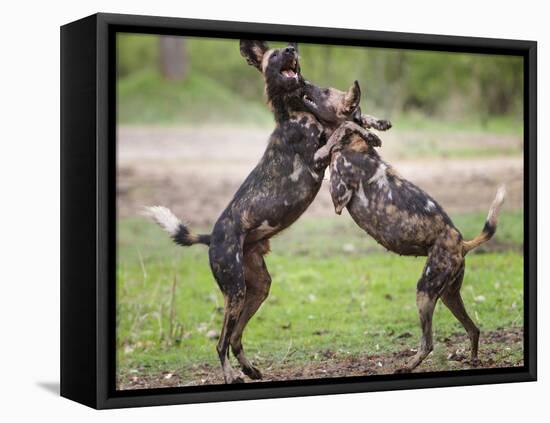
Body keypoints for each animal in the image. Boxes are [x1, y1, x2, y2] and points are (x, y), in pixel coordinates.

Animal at [147, 39, 388, 384]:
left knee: (236, 337)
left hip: (258, 288)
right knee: (221, 342)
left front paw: (375, 124)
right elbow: (344, 126)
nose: (290, 48)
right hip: (234, 292)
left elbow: (350, 118)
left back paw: (250, 369)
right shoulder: (318, 158)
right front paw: (367, 131)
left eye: (286, 51)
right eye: (274, 56)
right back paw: (230, 376)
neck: (297, 112)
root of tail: (212, 237)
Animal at [306, 83, 508, 374]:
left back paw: (408, 366)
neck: (353, 147)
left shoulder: (337, 198)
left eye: (323, 91)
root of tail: (461, 242)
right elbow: (355, 124)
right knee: (474, 329)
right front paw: (375, 126)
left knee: (428, 343)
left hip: (425, 292)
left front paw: (357, 132)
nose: (303, 83)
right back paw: (472, 360)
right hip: (448, 295)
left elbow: (344, 127)